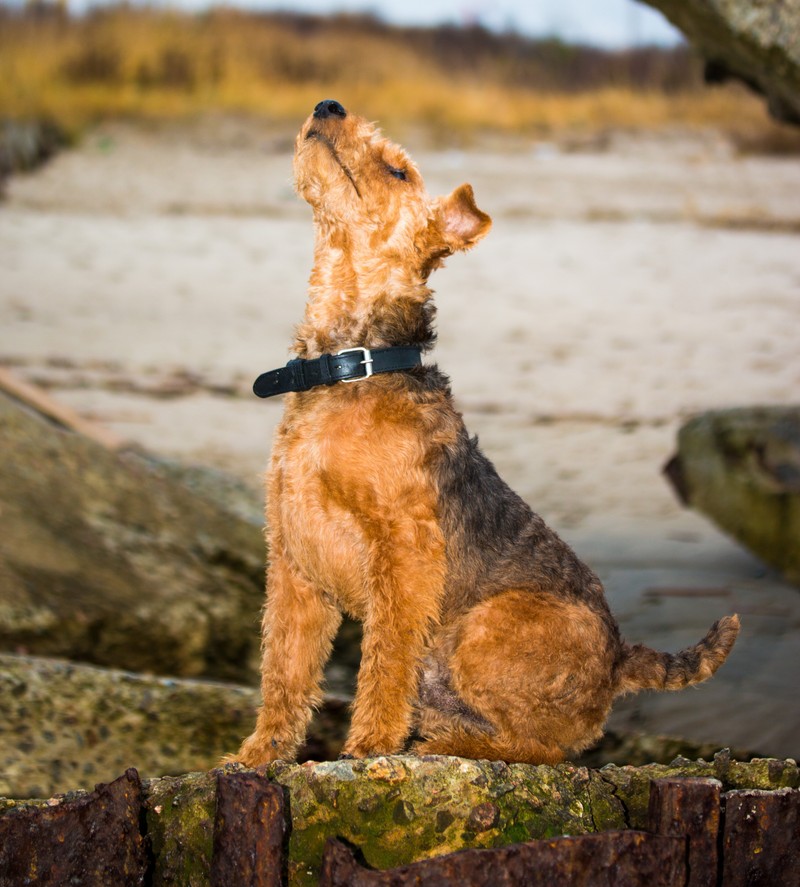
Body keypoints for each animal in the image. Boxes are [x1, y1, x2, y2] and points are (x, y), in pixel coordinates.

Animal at [231, 95, 736, 764]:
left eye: (397, 169)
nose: (327, 105)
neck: (351, 363)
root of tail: (620, 659)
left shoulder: (404, 553)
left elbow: (381, 665)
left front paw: (367, 748)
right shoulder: (293, 559)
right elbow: (284, 673)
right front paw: (257, 756)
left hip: (488, 626)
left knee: (542, 746)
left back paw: (440, 747)